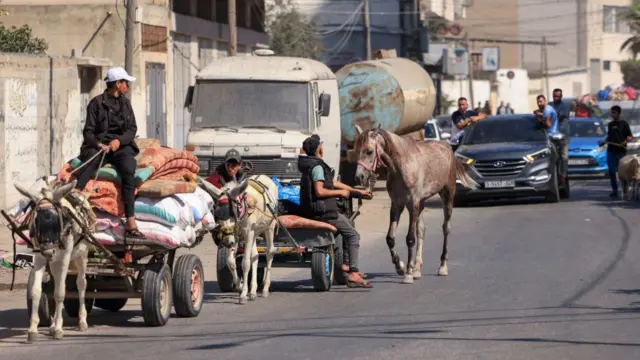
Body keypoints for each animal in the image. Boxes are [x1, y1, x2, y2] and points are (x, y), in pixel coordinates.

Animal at [13, 179, 95, 342]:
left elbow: (60, 293)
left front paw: (58, 329)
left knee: (81, 284)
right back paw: (51, 325)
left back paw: (81, 321)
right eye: (36, 220)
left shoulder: (64, 257)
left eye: (58, 220)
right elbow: (36, 291)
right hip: (53, 262)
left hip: (81, 255)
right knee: (55, 283)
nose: (48, 252)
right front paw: (33, 330)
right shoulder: (39, 256)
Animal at [200, 174, 278, 304]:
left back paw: (265, 288)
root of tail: (264, 176)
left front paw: (243, 295)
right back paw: (253, 291)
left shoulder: (248, 233)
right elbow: (231, 262)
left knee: (269, 252)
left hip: (269, 226)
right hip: (255, 231)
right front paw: (240, 287)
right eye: (216, 213)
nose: (227, 243)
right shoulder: (237, 235)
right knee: (255, 255)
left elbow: (245, 263)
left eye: (232, 211)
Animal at [352, 126, 478, 284]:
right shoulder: (397, 205)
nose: (359, 177)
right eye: (356, 150)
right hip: (422, 203)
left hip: (447, 196)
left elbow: (410, 238)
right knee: (421, 230)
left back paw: (442, 266)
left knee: (446, 229)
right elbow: (390, 238)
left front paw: (408, 273)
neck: (401, 166)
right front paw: (400, 266)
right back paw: (417, 268)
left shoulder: (413, 204)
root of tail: (448, 149)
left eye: (369, 151)